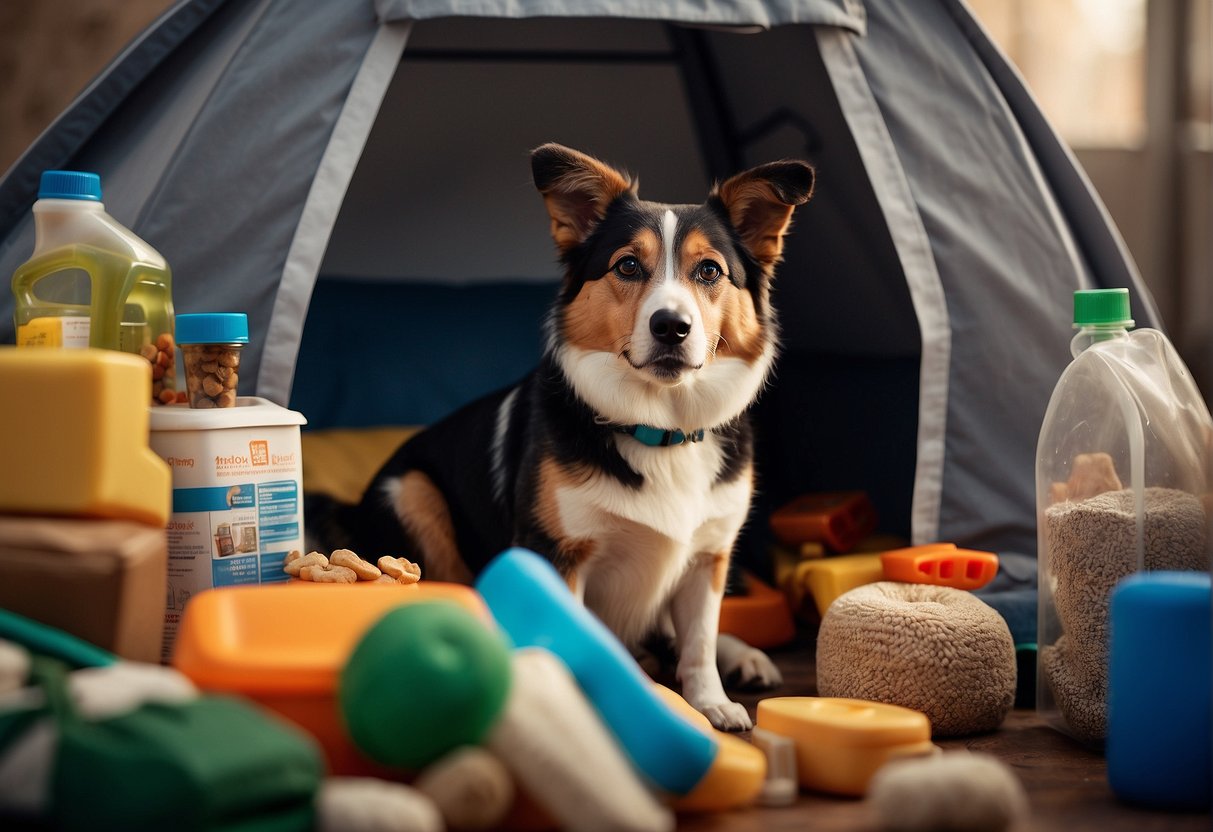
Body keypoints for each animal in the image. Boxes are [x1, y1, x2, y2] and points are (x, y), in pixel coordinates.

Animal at [337, 146, 815, 732]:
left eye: (710, 271)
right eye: (627, 265)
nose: (671, 327)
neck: (660, 429)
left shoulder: (709, 557)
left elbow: (700, 641)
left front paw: (712, 703)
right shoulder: (557, 553)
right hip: (411, 492)